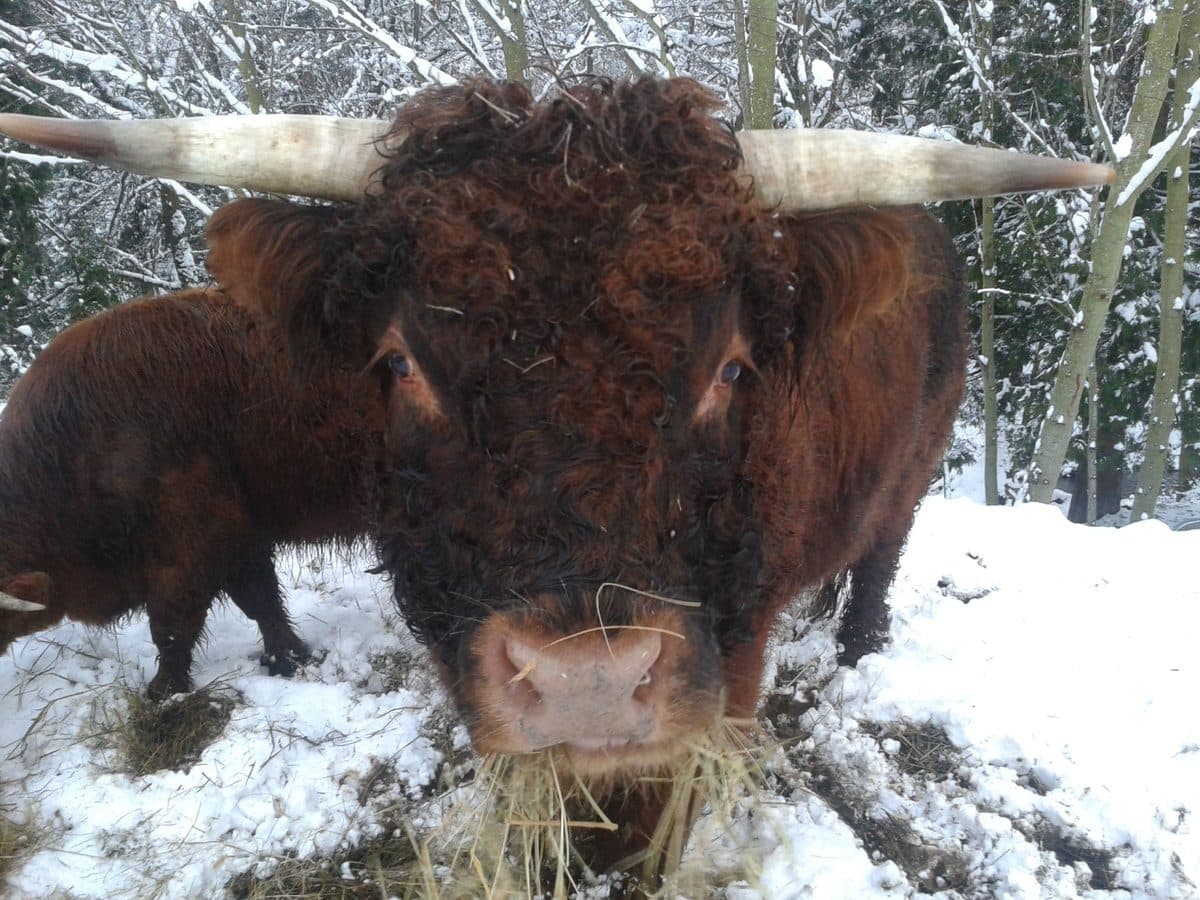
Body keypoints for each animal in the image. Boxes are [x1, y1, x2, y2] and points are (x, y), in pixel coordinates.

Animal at [0, 288, 382, 698]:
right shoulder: (240, 541)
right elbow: (260, 601)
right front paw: (287, 658)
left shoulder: (191, 545)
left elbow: (172, 625)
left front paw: (162, 690)